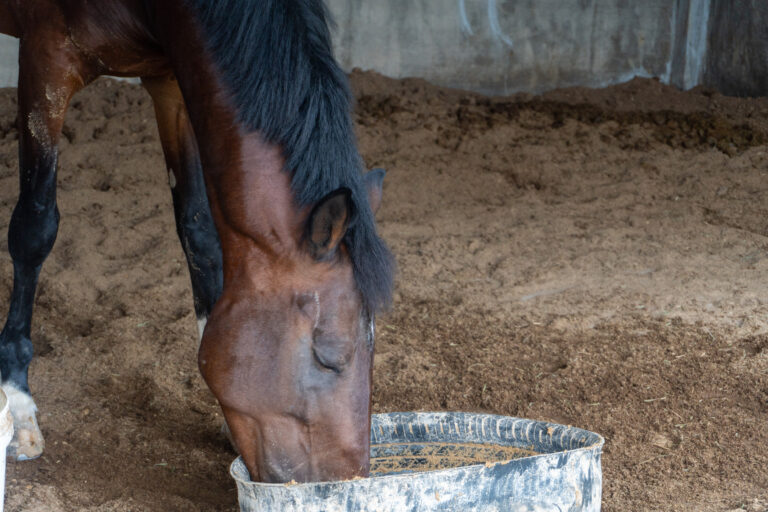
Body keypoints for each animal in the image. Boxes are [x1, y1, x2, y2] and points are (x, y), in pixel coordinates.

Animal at [0, 0, 394, 483]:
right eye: (328, 357)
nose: (346, 480)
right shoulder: (45, 59)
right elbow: (34, 228)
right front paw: (18, 403)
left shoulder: (173, 79)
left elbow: (198, 230)